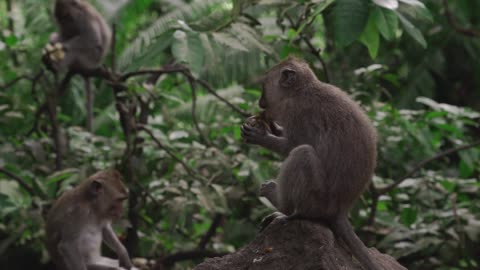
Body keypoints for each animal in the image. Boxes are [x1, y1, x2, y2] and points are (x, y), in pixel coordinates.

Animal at [42, 0, 111, 132]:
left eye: (67, 16)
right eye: (60, 19)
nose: (65, 23)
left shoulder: (84, 18)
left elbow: (92, 39)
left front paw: (62, 46)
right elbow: (61, 35)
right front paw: (53, 44)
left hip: (88, 59)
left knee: (75, 51)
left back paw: (56, 66)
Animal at [242, 57, 384, 270]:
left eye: (264, 86)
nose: (260, 102)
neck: (302, 89)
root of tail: (341, 210)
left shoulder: (296, 110)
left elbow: (293, 145)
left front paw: (261, 136)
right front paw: (272, 126)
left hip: (318, 198)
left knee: (303, 154)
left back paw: (286, 208)